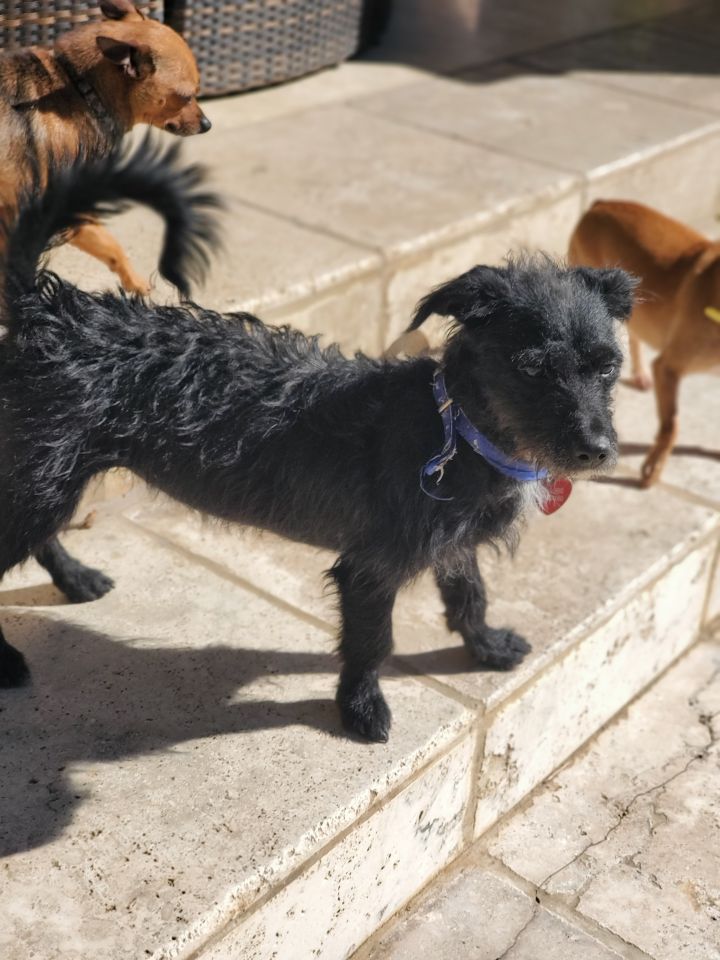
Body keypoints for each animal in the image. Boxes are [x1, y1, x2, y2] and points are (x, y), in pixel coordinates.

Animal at [0, 144, 632, 744]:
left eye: (609, 366)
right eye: (531, 367)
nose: (597, 451)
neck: (458, 429)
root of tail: (49, 311)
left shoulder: (453, 544)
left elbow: (469, 594)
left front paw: (486, 645)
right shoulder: (370, 569)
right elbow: (373, 642)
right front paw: (362, 708)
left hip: (47, 480)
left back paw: (75, 579)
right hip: (48, 476)